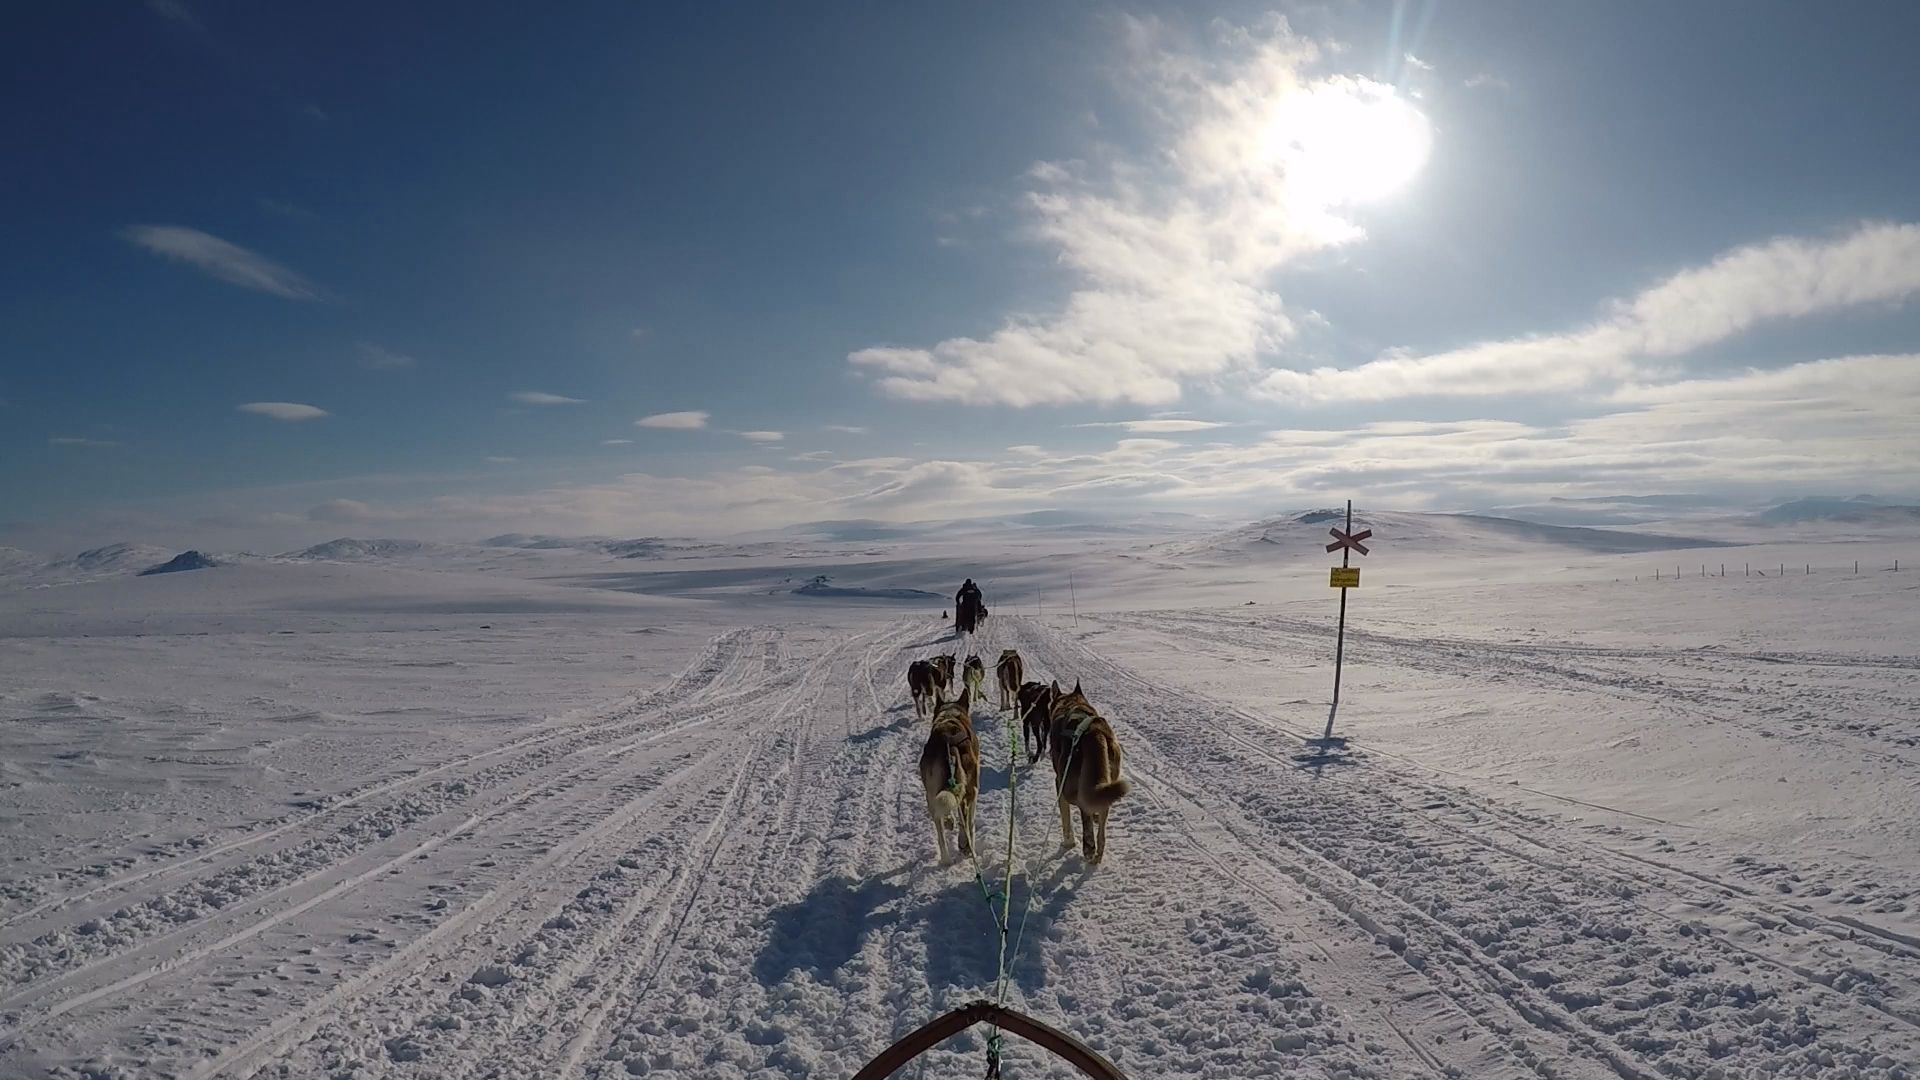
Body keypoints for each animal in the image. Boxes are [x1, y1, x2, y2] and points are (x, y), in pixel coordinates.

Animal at [913, 684, 975, 860]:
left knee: (940, 830)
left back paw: (946, 858)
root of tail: (947, 741)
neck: (949, 715)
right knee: (964, 819)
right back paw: (964, 845)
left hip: (931, 795)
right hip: (969, 788)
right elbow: (970, 821)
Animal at [1052, 680, 1121, 864]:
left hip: (1068, 786)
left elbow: (1066, 818)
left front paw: (1068, 842)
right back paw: (1097, 853)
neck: (1071, 702)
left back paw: (1088, 847)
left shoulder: (1059, 782)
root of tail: (1094, 732)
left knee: (1084, 809)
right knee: (1101, 827)